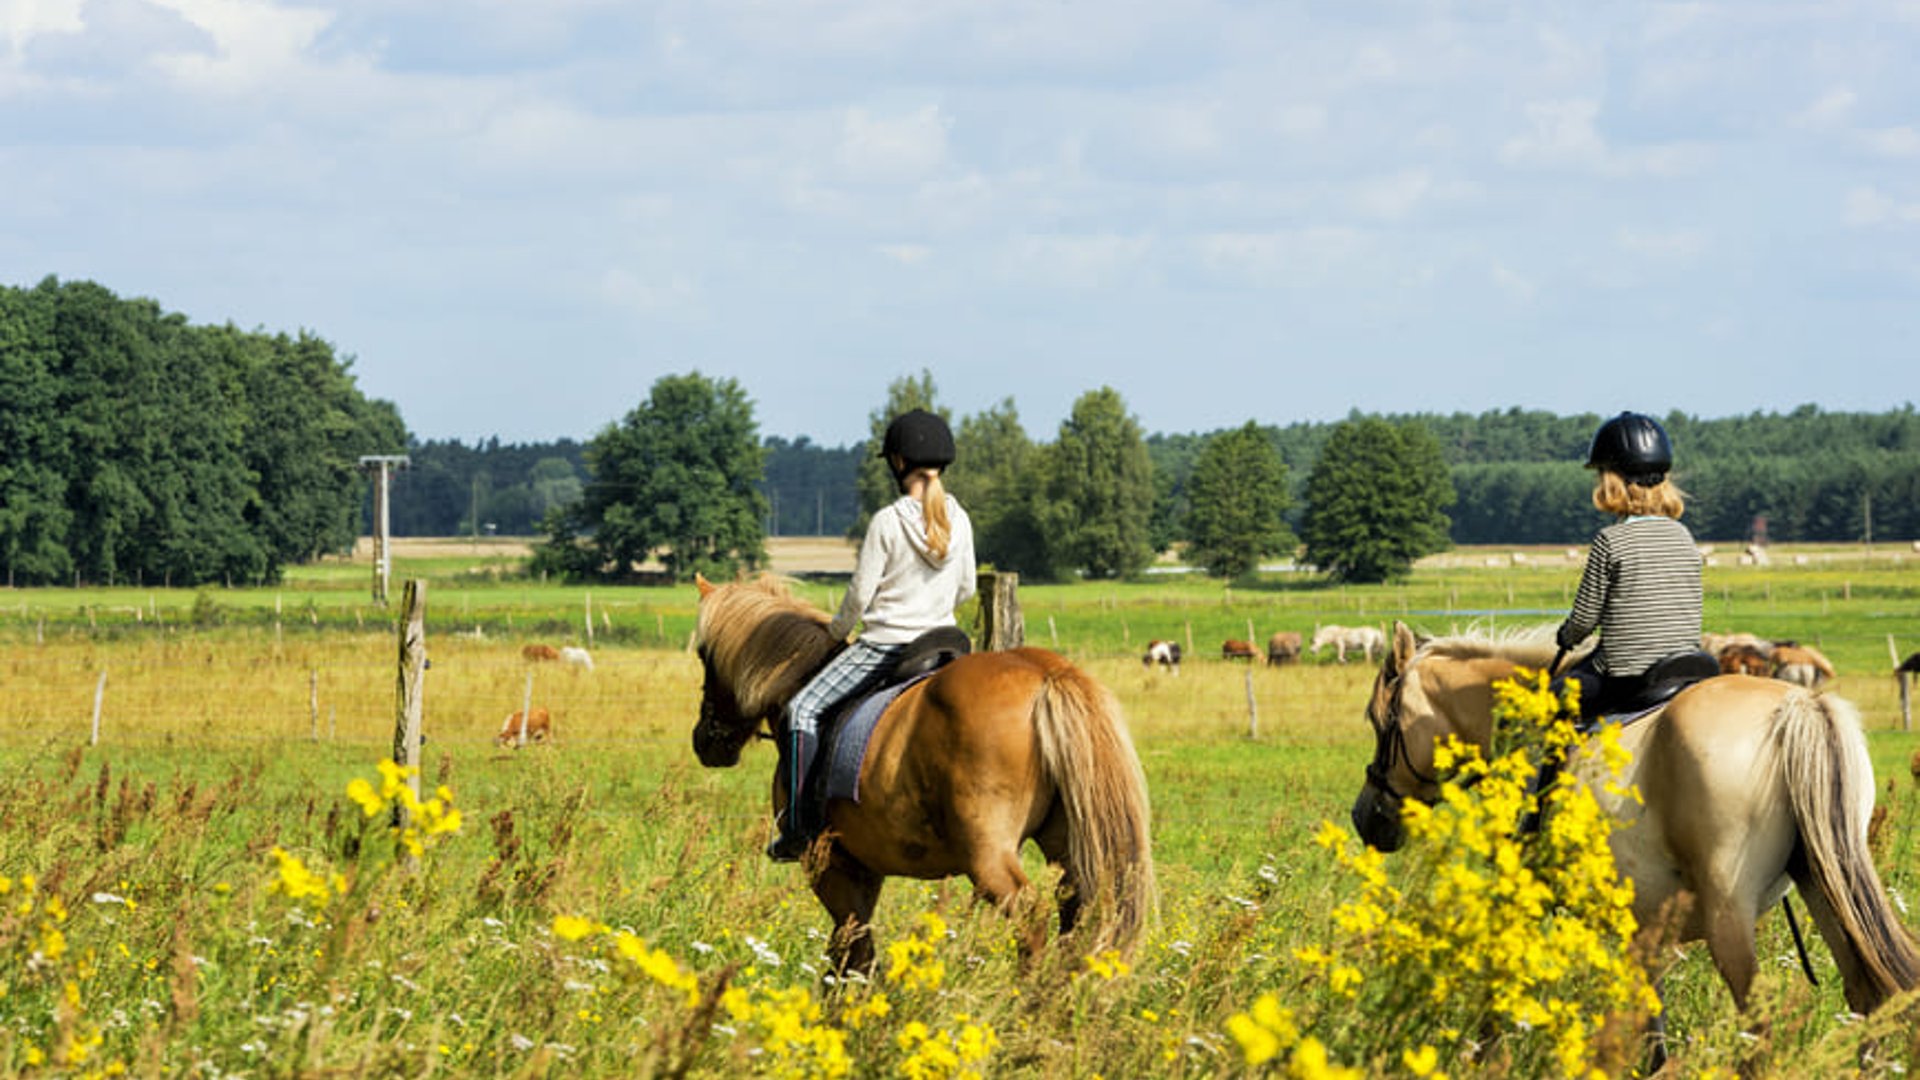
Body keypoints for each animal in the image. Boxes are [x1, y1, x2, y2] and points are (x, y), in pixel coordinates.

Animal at [691, 572, 1152, 976]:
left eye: (704, 656)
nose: (704, 741)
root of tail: (1044, 674)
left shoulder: (829, 866)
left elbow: (849, 948)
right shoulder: (865, 868)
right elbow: (854, 952)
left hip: (989, 857)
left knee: (1032, 919)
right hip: (1066, 843)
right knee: (1078, 917)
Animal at [1351, 618, 1920, 1014]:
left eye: (1381, 722)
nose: (1364, 818)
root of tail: (1797, 708)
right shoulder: (1641, 928)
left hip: (1730, 917)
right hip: (1824, 883)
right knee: (1869, 993)